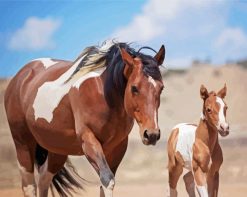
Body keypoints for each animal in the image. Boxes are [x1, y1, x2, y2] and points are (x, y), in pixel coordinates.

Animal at [3, 40, 165, 196]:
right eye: (134, 88)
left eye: (161, 88)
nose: (151, 134)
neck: (104, 93)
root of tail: (20, 76)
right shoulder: (88, 140)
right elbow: (107, 180)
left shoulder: (117, 147)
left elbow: (104, 184)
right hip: (23, 143)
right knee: (29, 185)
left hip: (57, 150)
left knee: (43, 180)